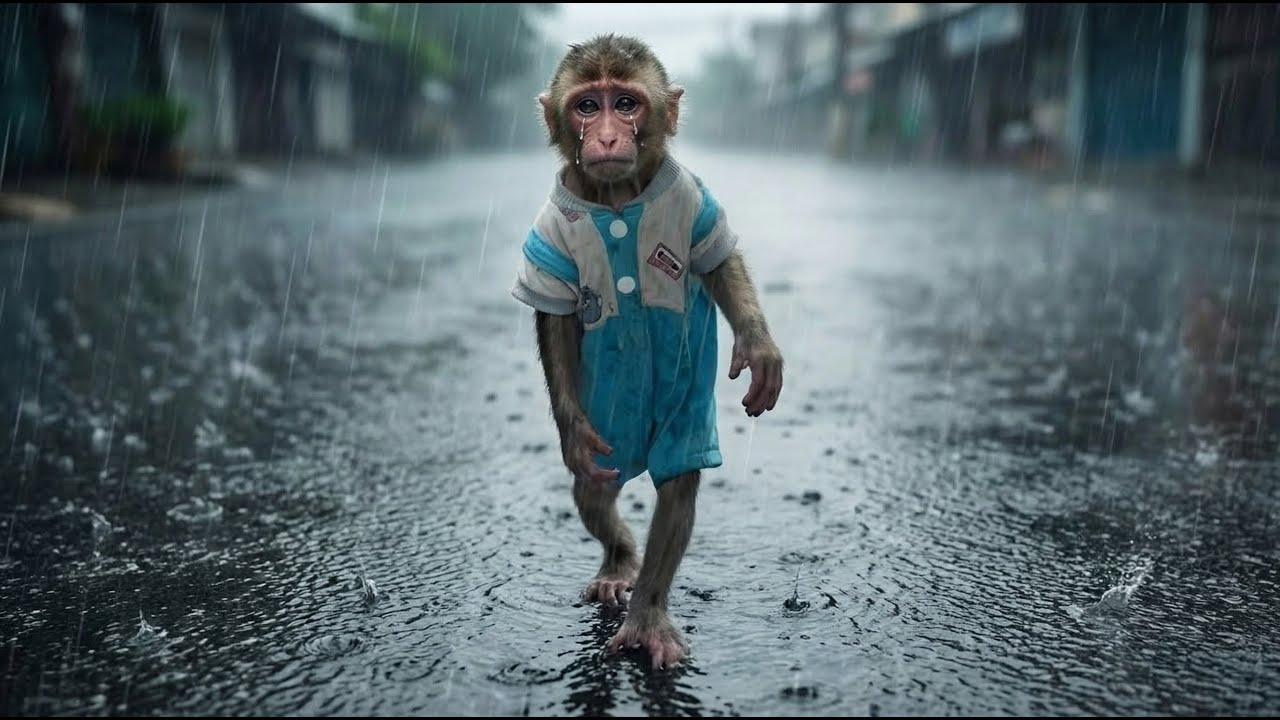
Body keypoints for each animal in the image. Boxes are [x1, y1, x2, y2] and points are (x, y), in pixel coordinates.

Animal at [509, 34, 784, 671]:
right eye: (588, 106)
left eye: (627, 103)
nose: (609, 136)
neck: (616, 201)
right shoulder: (548, 238)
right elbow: (556, 321)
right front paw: (572, 427)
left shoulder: (693, 200)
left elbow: (718, 262)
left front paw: (759, 349)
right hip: (611, 441)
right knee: (594, 490)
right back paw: (620, 563)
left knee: (678, 476)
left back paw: (646, 613)